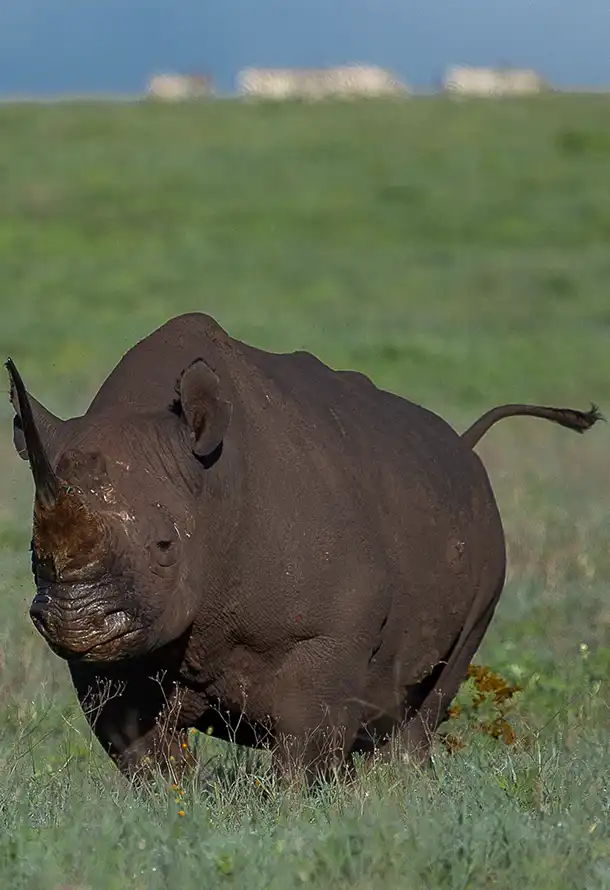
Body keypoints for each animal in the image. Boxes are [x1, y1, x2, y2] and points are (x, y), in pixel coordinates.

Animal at [5, 313, 601, 782]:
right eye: (34, 552)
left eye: (164, 546)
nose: (78, 624)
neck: (210, 487)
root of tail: (464, 447)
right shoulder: (118, 652)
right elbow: (144, 752)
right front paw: (175, 808)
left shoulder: (326, 633)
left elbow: (304, 742)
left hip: (486, 541)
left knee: (427, 703)